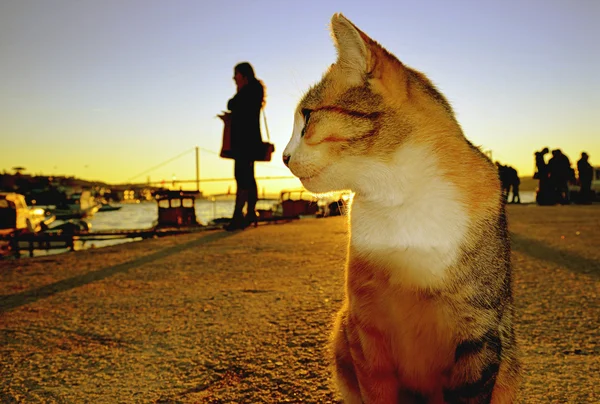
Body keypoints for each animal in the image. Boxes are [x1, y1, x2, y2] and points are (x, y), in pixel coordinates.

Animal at [282, 12, 520, 404]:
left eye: (308, 116)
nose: (283, 157)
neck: (400, 196)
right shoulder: (366, 331)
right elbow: (377, 388)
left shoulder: (478, 333)